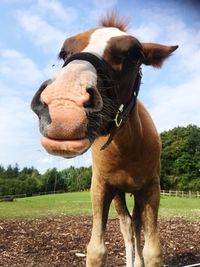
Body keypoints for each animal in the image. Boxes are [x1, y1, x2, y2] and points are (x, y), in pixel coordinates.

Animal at [31, 12, 178, 267]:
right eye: (64, 52)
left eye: (135, 53)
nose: (64, 106)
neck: (127, 150)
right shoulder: (100, 187)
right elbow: (96, 249)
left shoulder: (151, 188)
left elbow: (153, 251)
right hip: (119, 193)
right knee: (127, 224)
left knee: (135, 223)